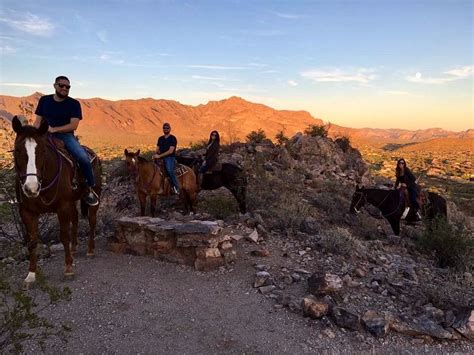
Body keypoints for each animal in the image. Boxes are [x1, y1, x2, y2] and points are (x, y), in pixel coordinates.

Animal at [11, 117, 101, 286]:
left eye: (42, 151)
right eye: (17, 150)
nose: (31, 188)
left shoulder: (62, 207)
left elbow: (64, 236)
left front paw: (68, 269)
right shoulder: (26, 212)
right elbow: (32, 241)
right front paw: (31, 275)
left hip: (94, 195)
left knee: (92, 220)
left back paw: (90, 250)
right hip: (72, 201)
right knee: (76, 218)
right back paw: (74, 248)